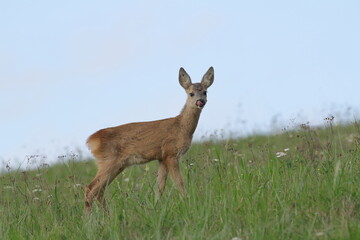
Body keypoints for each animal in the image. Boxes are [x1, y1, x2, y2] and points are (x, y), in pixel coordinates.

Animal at [84, 66, 214, 213]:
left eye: (205, 92)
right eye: (191, 93)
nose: (200, 101)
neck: (181, 127)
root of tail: (92, 140)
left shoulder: (161, 158)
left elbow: (160, 187)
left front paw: (157, 207)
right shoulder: (170, 153)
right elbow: (179, 183)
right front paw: (187, 203)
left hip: (117, 165)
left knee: (99, 190)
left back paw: (108, 215)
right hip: (109, 161)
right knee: (90, 189)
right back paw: (89, 219)